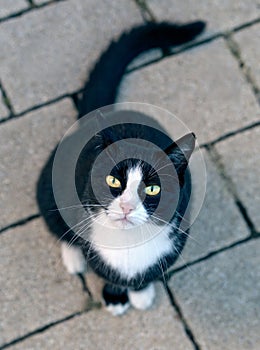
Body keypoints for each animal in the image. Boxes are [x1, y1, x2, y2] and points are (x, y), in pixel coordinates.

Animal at [37, 21, 206, 318]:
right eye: (114, 181)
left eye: (153, 188)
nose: (127, 206)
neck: (128, 244)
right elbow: (106, 272)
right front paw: (115, 296)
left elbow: (149, 273)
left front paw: (141, 293)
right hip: (50, 183)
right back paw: (73, 257)